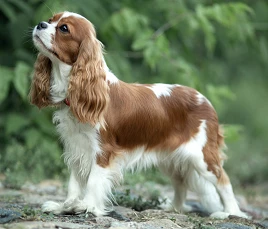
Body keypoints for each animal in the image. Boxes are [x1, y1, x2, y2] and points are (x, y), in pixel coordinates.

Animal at [29, 11, 247, 219]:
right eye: (51, 19)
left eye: (64, 28)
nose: (40, 24)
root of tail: (204, 99)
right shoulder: (77, 148)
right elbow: (74, 183)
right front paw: (65, 206)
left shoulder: (103, 151)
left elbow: (93, 181)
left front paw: (88, 207)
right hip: (171, 159)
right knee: (180, 182)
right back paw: (175, 208)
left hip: (202, 157)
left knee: (223, 180)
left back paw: (231, 212)